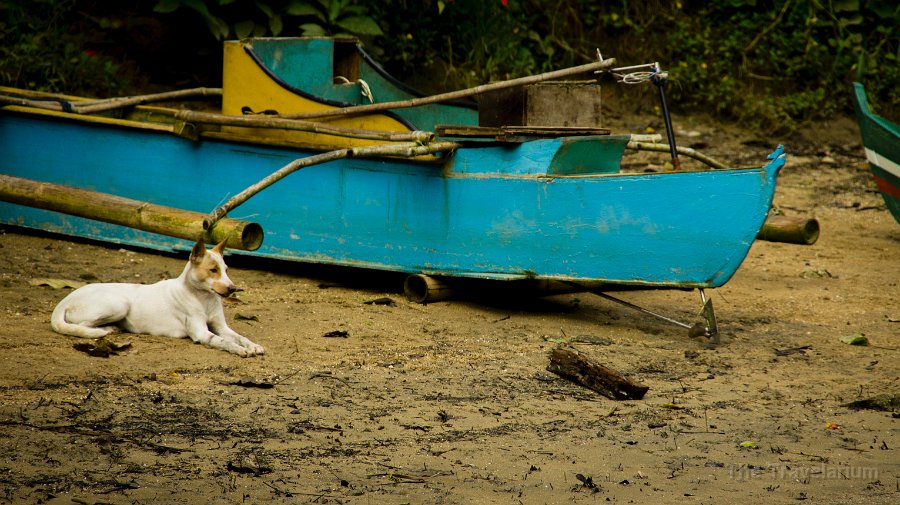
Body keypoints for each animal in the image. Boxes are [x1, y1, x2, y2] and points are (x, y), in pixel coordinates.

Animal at [51, 239, 264, 354]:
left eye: (226, 270)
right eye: (213, 270)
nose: (232, 289)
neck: (204, 297)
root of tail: (65, 300)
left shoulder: (221, 327)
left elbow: (240, 337)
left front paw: (252, 346)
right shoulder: (202, 333)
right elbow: (223, 341)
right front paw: (239, 350)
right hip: (118, 305)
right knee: (81, 327)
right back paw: (107, 329)